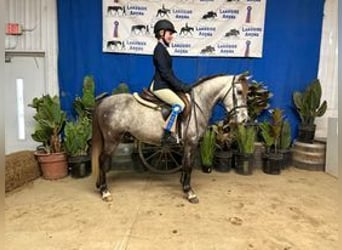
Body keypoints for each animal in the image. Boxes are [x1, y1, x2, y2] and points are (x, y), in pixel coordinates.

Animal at [91, 72, 248, 203]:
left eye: (248, 93)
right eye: (239, 92)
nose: (244, 119)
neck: (199, 103)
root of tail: (103, 102)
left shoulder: (187, 144)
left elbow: (185, 163)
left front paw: (183, 184)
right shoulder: (191, 143)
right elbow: (189, 165)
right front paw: (189, 192)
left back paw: (100, 186)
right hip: (112, 139)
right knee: (102, 160)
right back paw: (105, 192)